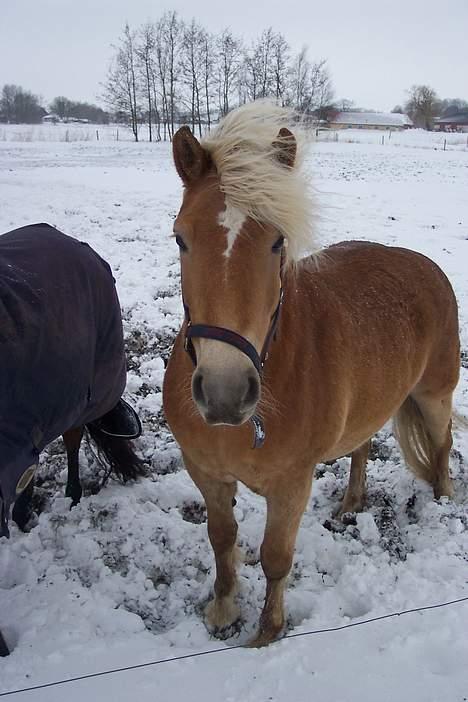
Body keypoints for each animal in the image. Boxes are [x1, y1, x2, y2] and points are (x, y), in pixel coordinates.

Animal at [164, 103, 460, 648]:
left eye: (277, 241)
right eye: (181, 237)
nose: (224, 393)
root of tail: (426, 266)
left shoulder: (290, 486)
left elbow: (276, 559)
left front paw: (265, 635)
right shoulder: (206, 473)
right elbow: (221, 538)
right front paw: (223, 609)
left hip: (434, 394)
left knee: (443, 443)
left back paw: (444, 498)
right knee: (362, 446)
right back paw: (350, 503)